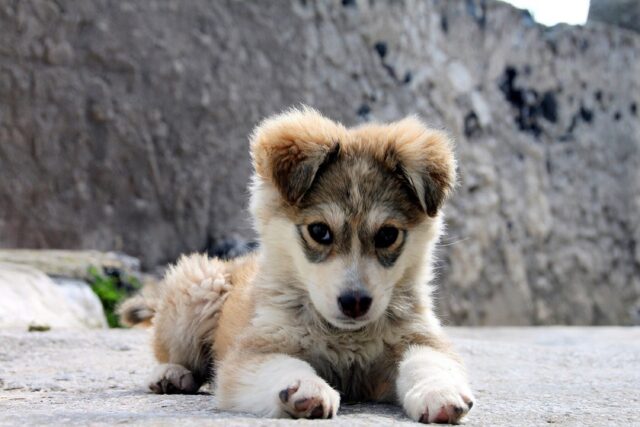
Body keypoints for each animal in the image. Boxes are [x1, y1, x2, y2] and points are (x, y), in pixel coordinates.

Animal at [119, 108, 476, 424]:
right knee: (170, 352)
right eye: (319, 231)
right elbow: (283, 365)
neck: (345, 338)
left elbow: (428, 362)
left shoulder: (419, 338)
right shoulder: (252, 353)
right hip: (198, 288)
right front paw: (304, 388)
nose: (355, 303)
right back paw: (171, 373)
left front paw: (439, 391)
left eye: (388, 235)